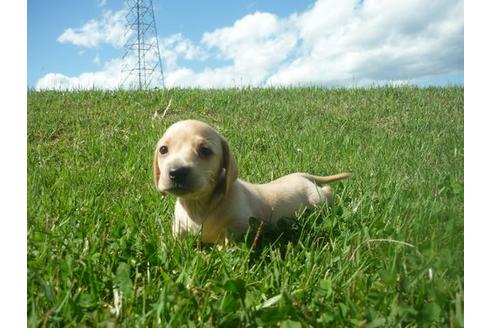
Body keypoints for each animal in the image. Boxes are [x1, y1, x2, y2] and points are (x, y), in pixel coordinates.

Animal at [154, 119, 350, 242]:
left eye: (205, 151)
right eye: (163, 150)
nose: (176, 172)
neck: (198, 206)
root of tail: (301, 175)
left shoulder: (238, 228)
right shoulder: (178, 230)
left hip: (316, 200)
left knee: (328, 192)